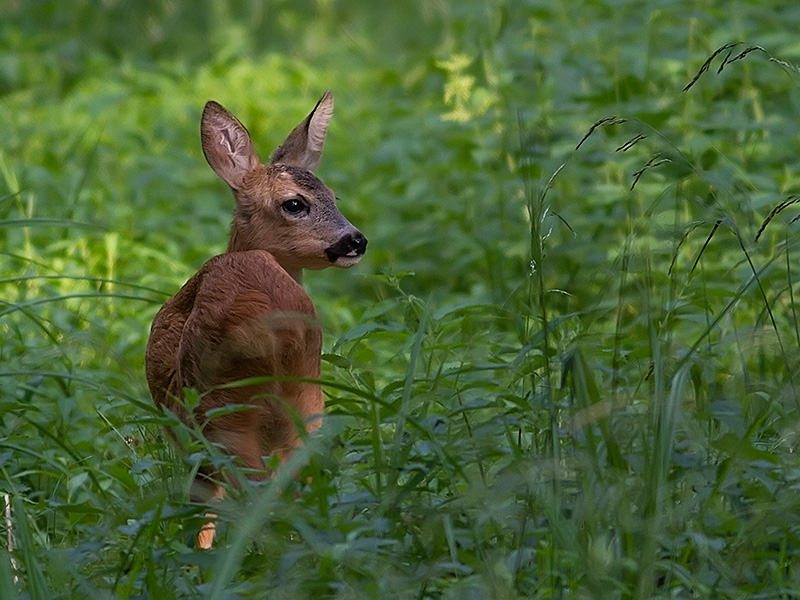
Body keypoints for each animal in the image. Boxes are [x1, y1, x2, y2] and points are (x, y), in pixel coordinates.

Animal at [144, 91, 366, 548]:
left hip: (224, 411)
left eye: (334, 197)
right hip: (306, 403)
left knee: (253, 497)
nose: (356, 240)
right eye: (295, 203)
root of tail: (272, 322)